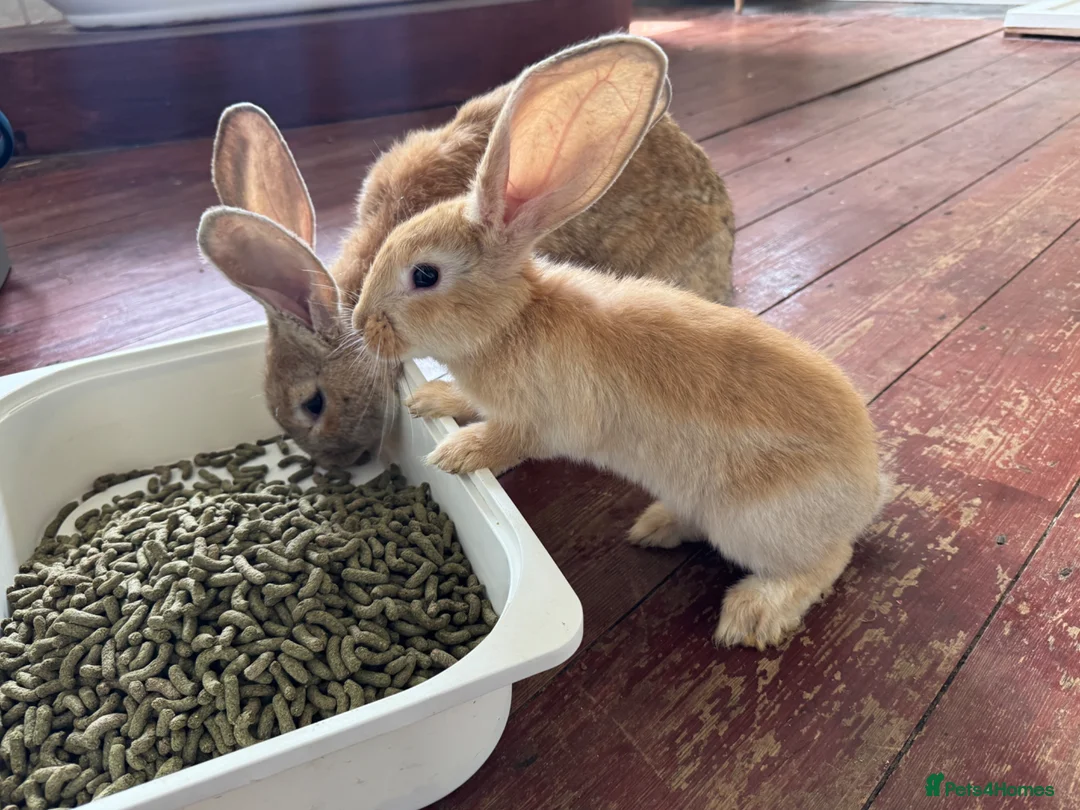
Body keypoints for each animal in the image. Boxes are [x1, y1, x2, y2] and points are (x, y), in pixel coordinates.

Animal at [317, 34, 886, 649]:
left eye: (425, 275)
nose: (361, 322)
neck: (512, 320)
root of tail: (868, 491)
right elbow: (469, 402)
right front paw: (432, 401)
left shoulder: (542, 420)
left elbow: (511, 441)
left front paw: (455, 454)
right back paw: (656, 527)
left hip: (757, 525)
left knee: (824, 563)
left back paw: (751, 614)